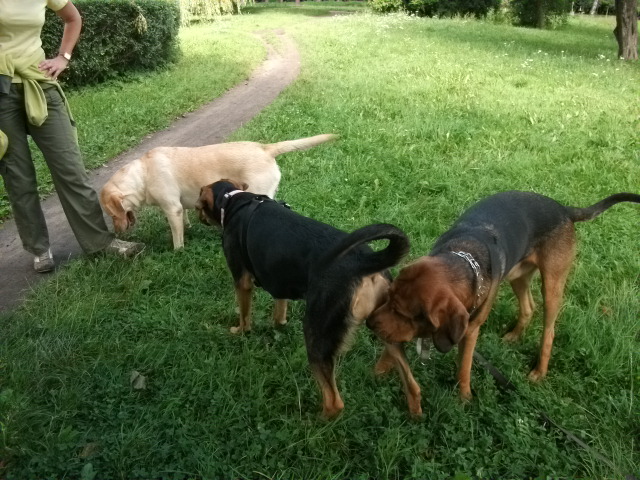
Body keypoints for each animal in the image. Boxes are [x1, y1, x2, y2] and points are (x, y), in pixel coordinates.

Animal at [99, 134, 336, 249]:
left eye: (111, 215)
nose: (116, 233)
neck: (143, 174)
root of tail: (265, 148)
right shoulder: (179, 207)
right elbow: (184, 221)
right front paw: (188, 227)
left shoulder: (172, 208)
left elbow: (177, 238)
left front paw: (177, 251)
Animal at [195, 179, 410, 416]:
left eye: (198, 205)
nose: (198, 216)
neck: (233, 200)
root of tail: (366, 260)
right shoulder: (279, 277)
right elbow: (280, 308)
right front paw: (278, 324)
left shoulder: (242, 281)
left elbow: (244, 315)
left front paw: (240, 331)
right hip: (383, 323)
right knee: (408, 376)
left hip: (317, 334)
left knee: (334, 401)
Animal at [364, 191, 640, 416]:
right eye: (388, 297)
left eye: (402, 311)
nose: (369, 323)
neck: (464, 259)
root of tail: (563, 209)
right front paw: (380, 370)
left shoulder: (470, 330)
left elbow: (464, 367)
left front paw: (464, 398)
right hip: (519, 274)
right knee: (529, 307)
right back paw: (515, 335)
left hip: (552, 285)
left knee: (548, 330)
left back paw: (539, 371)